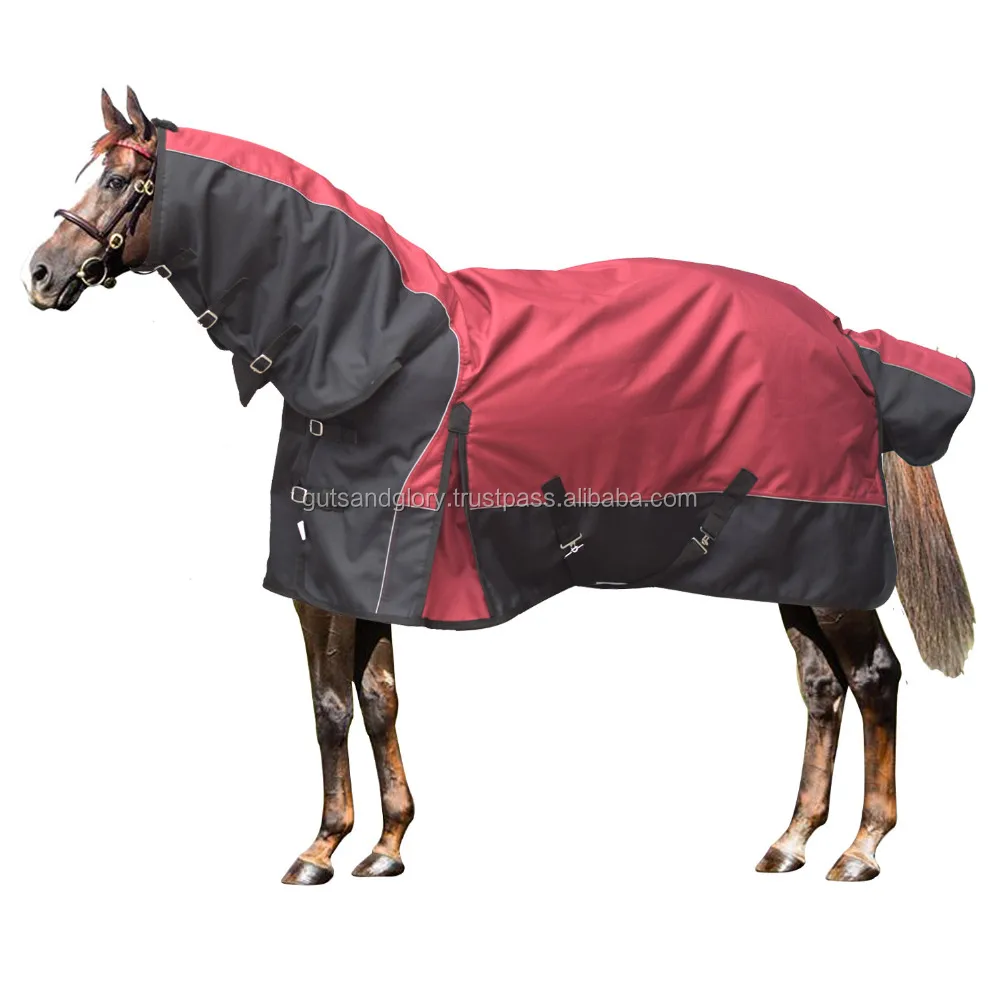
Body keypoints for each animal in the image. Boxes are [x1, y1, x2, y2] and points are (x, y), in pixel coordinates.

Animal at [23, 88, 975, 883]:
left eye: (120, 179)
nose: (38, 273)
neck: (373, 348)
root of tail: (848, 341)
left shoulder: (323, 584)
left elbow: (329, 705)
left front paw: (320, 849)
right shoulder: (361, 580)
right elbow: (379, 700)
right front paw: (387, 845)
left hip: (831, 561)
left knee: (875, 677)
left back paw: (861, 849)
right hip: (790, 565)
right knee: (821, 687)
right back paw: (791, 840)